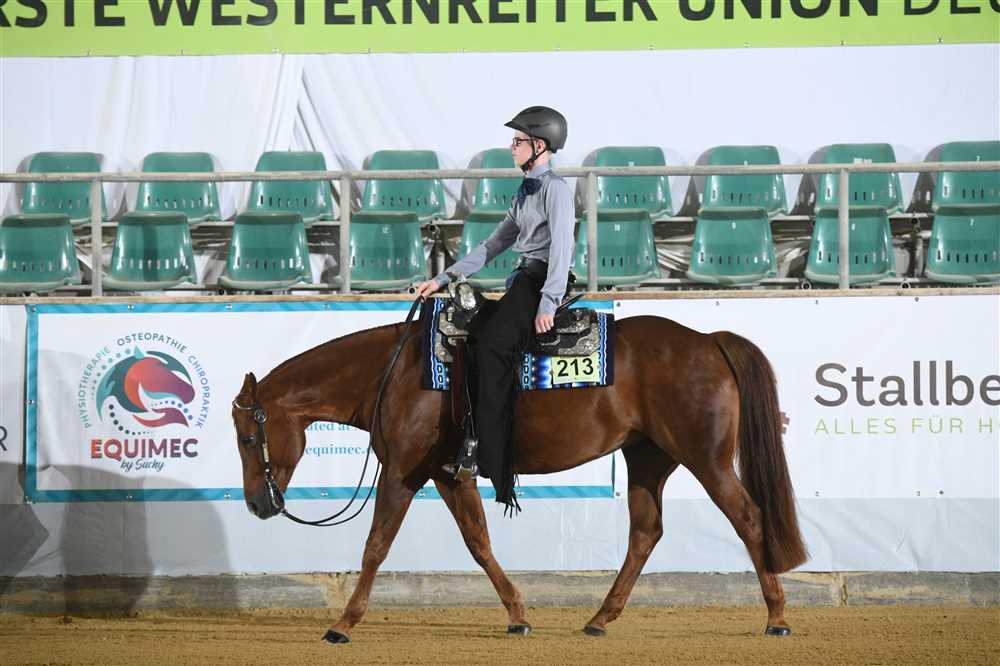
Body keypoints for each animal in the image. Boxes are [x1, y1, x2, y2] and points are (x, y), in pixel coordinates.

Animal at [230, 307, 808, 643]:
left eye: (247, 438)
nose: (257, 504)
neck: (393, 372)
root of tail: (708, 340)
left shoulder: (401, 472)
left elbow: (376, 544)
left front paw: (343, 623)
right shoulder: (449, 474)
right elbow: (478, 541)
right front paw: (517, 614)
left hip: (706, 458)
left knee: (748, 517)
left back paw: (777, 618)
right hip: (647, 458)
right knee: (646, 532)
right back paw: (599, 618)